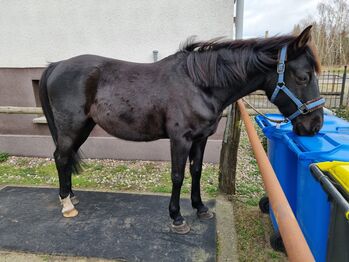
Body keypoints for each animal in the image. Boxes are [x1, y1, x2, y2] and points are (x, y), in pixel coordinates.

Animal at [40, 25, 324, 233]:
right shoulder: (180, 139)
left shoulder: (200, 139)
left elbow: (196, 171)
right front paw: (177, 218)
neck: (199, 84)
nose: (315, 125)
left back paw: (71, 196)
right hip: (72, 127)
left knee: (65, 158)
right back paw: (67, 204)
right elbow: (178, 176)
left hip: (84, 127)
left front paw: (200, 209)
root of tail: (57, 65)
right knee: (61, 157)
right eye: (303, 77)